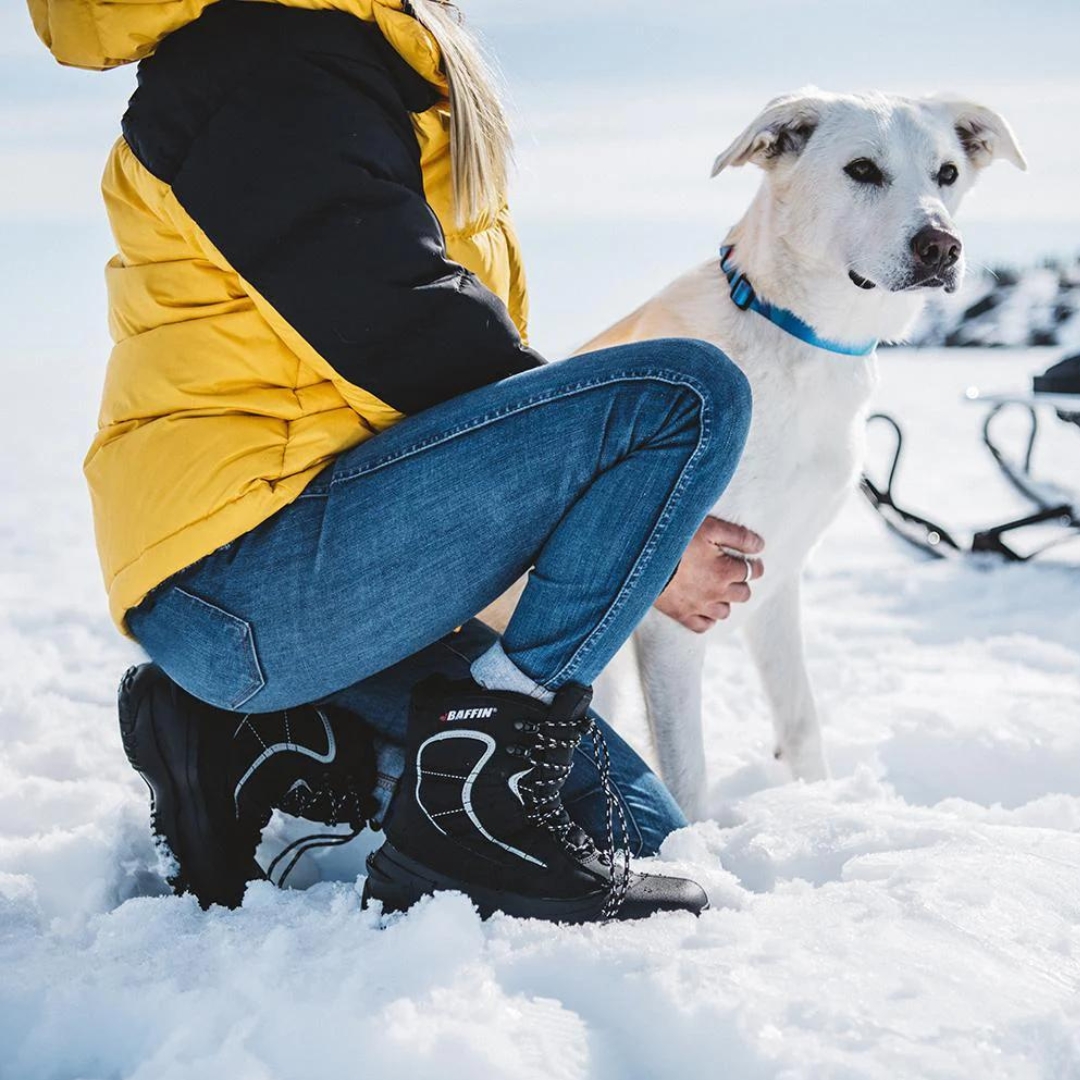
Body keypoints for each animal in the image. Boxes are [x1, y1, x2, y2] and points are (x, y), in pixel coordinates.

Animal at [488, 90, 1019, 816]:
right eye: (861, 169)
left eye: (946, 173)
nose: (940, 245)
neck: (801, 341)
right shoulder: (676, 615)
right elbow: (687, 771)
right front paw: (701, 842)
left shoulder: (775, 581)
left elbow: (800, 719)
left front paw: (821, 808)